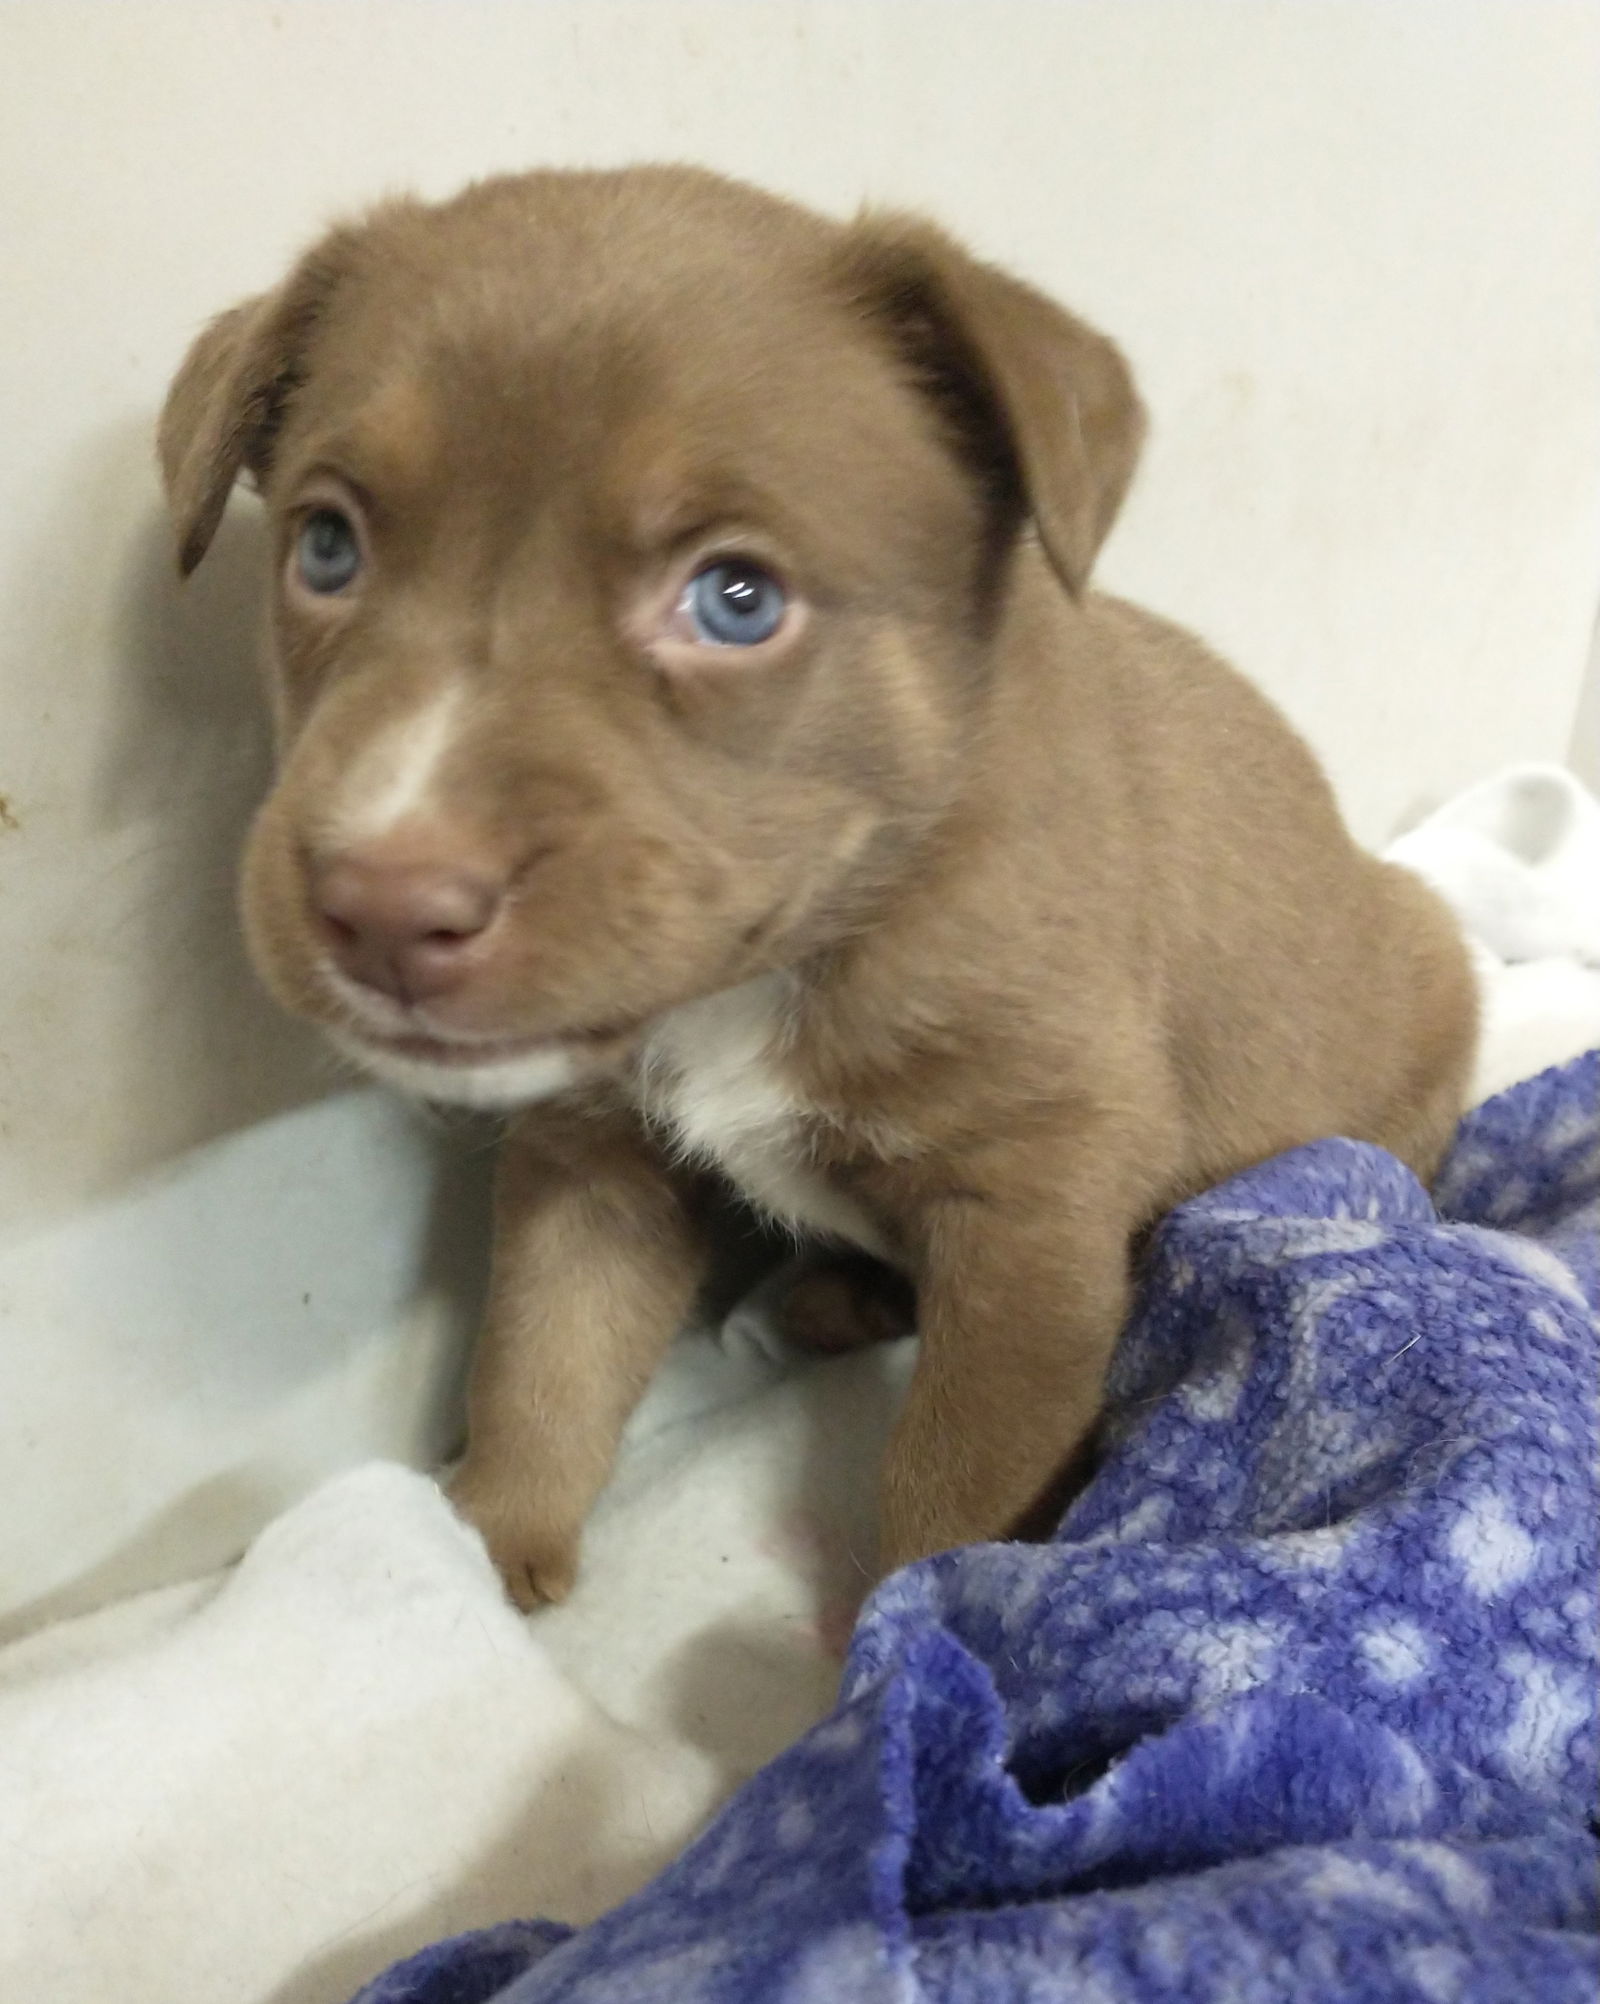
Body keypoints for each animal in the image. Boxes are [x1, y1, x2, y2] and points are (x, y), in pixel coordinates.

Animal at [159, 168, 1475, 1611]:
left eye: (737, 599)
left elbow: (953, 1487)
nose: (384, 903)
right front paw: (480, 1559)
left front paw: (895, 1652)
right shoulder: (592, 1154)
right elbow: (544, 1357)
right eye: (325, 550)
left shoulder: (1036, 1203)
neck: (798, 952)